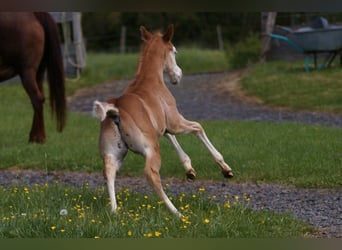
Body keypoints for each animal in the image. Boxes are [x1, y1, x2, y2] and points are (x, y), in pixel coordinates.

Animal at [0, 12, 66, 144]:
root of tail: (34, 14)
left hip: (27, 72)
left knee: (37, 99)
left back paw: (39, 137)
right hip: (39, 72)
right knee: (39, 98)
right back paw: (35, 136)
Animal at [92, 24, 234, 218]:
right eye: (174, 51)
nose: (178, 75)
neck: (149, 80)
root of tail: (116, 110)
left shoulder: (162, 127)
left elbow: (172, 138)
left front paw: (190, 170)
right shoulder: (175, 123)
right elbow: (198, 127)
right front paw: (225, 169)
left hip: (114, 153)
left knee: (109, 172)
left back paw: (114, 211)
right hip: (151, 149)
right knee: (151, 174)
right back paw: (176, 212)